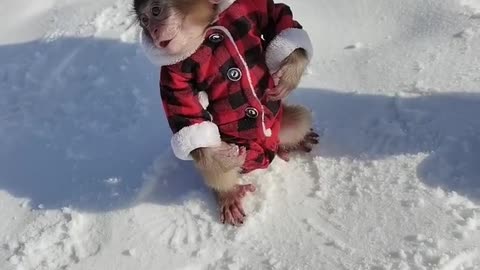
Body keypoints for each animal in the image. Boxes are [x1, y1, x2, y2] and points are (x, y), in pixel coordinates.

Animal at [133, 0, 316, 225]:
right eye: (144, 21)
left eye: (155, 11)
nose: (153, 31)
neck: (207, 30)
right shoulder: (175, 69)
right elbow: (180, 101)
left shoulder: (248, 9)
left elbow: (278, 15)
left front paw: (290, 71)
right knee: (210, 154)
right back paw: (227, 193)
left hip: (279, 124)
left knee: (300, 119)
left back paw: (294, 142)